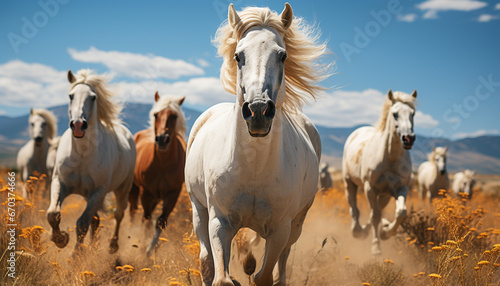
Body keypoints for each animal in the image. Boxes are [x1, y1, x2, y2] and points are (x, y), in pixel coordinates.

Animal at [47, 70, 136, 255]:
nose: (78, 125)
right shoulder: (60, 183)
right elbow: (53, 214)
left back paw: (112, 245)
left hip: (122, 189)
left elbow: (82, 223)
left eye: (93, 97)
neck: (82, 154)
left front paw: (75, 255)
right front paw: (61, 239)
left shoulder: (98, 191)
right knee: (95, 220)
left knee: (118, 214)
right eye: (71, 95)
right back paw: (94, 246)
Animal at [129, 91, 188, 255]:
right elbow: (147, 221)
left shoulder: (173, 194)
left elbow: (160, 222)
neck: (163, 164)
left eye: (174, 116)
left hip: (156, 197)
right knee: (133, 212)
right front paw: (143, 246)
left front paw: (150, 250)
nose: (162, 139)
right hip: (135, 189)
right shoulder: (146, 193)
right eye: (156, 115)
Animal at [186, 3, 326, 284]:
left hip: (297, 224)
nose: (259, 111)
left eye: (282, 56)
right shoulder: (220, 222)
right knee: (206, 260)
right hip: (199, 210)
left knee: (283, 260)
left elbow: (264, 275)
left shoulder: (280, 230)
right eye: (238, 56)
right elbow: (221, 276)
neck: (254, 168)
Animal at [344, 89, 418, 255]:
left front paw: (386, 232)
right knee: (354, 207)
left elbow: (401, 212)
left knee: (377, 210)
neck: (389, 157)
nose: (408, 138)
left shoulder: (400, 188)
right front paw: (376, 247)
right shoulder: (370, 188)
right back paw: (357, 231)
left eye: (413, 113)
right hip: (350, 182)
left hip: (385, 195)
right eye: (395, 114)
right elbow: (375, 216)